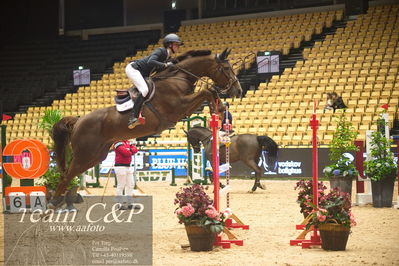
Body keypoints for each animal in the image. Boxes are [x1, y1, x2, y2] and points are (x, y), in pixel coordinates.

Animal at [48, 49, 242, 208]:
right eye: (227, 68)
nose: (238, 91)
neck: (178, 77)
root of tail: (78, 120)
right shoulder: (179, 107)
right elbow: (206, 92)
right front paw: (218, 109)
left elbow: (209, 92)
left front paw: (220, 110)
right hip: (85, 154)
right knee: (66, 175)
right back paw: (53, 203)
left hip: (96, 155)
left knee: (70, 174)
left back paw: (62, 201)